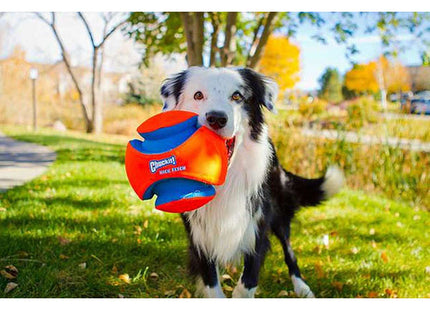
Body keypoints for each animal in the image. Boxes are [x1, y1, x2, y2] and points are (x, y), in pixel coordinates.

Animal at [160, 66, 344, 298]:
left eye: (237, 96)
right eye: (198, 95)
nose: (216, 118)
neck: (226, 180)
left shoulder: (259, 225)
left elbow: (246, 284)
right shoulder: (198, 234)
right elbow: (212, 283)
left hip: (279, 211)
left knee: (289, 251)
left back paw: (302, 287)